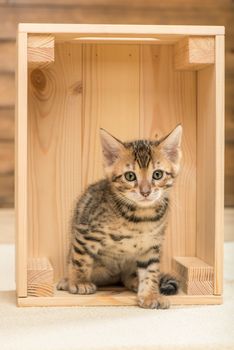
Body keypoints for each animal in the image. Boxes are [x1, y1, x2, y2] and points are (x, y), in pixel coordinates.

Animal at [57, 126, 182, 308]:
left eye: (157, 174)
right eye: (130, 176)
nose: (145, 192)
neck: (140, 217)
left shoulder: (151, 245)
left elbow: (150, 271)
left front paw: (151, 294)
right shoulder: (85, 231)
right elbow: (80, 259)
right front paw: (79, 281)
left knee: (126, 277)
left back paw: (135, 281)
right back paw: (67, 280)